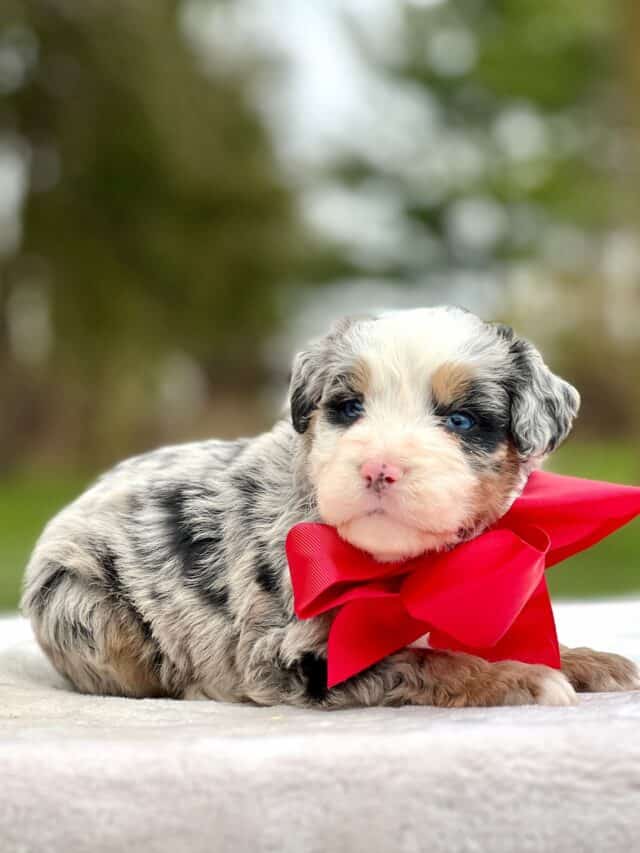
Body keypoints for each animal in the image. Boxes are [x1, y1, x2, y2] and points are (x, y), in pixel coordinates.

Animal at [21, 306, 640, 704]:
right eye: (348, 408)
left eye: (462, 420)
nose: (378, 468)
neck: (404, 567)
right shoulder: (289, 653)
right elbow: (423, 658)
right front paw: (517, 678)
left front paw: (586, 661)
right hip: (87, 614)